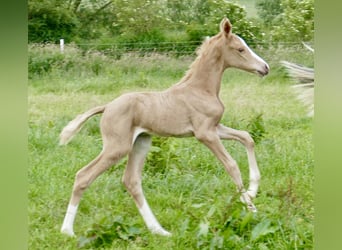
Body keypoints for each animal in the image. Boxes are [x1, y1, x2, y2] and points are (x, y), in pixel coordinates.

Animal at [60, 17, 270, 236]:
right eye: (240, 49)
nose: (265, 68)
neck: (201, 89)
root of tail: (107, 106)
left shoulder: (215, 127)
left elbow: (247, 137)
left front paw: (252, 191)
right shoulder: (205, 134)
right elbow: (232, 165)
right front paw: (251, 208)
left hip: (141, 142)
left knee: (131, 181)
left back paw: (159, 231)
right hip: (117, 147)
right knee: (84, 176)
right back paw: (67, 231)